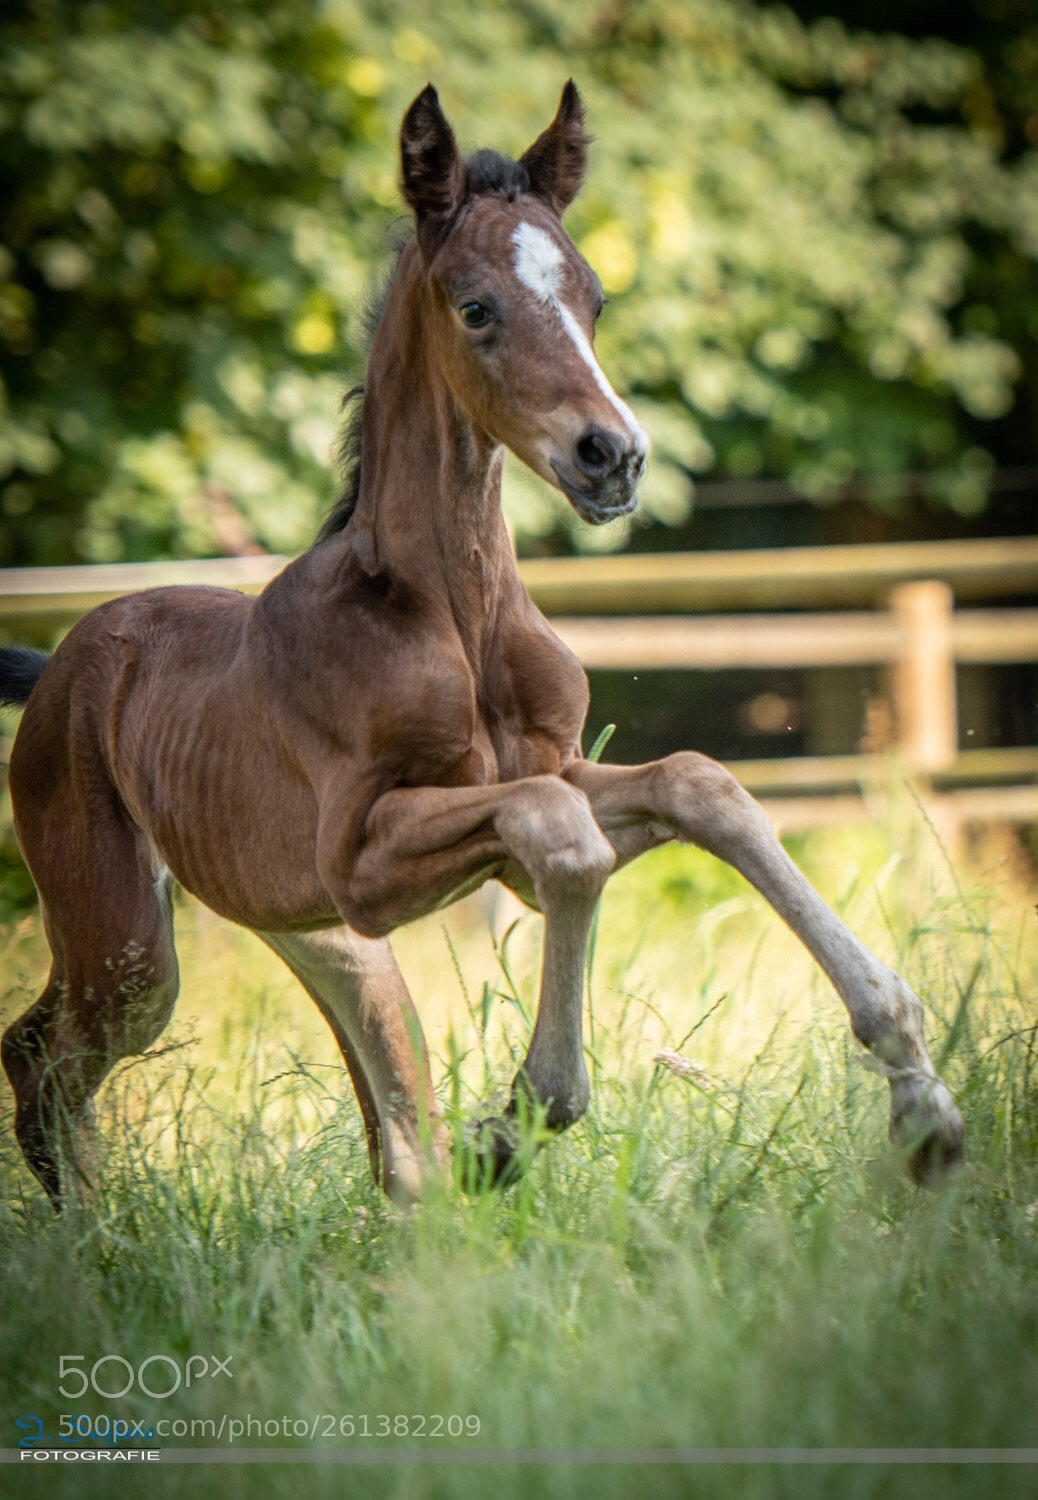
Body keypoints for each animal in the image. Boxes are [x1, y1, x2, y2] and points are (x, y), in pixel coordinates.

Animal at [0, 82, 964, 1209]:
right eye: (476, 308)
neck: (457, 622)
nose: (613, 456)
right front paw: (525, 1117)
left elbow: (700, 787)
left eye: (595, 300)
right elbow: (562, 834)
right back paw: (93, 1238)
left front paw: (922, 1100)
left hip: (327, 944)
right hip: (132, 949)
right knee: (42, 1060)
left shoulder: (530, 796)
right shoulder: (366, 854)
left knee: (391, 1138)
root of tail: (60, 668)